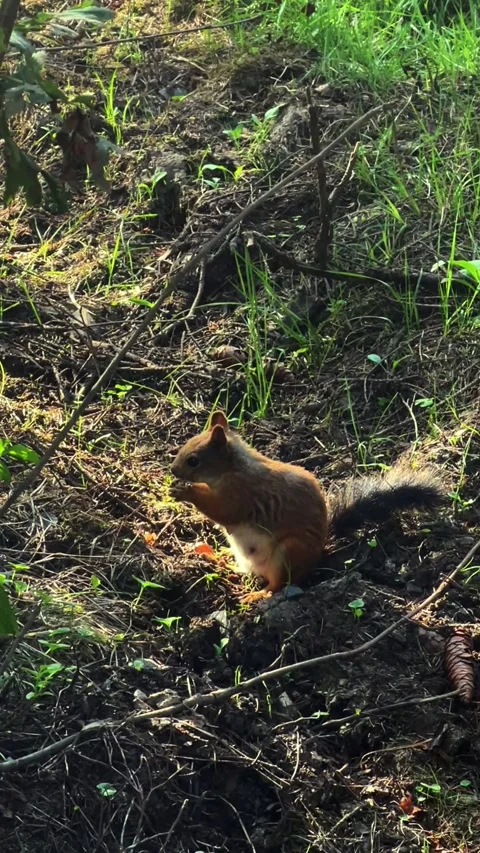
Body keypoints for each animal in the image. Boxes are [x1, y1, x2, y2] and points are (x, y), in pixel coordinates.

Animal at [170, 411, 443, 602]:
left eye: (193, 461)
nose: (172, 470)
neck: (232, 468)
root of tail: (317, 555)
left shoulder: (241, 492)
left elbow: (223, 510)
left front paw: (184, 490)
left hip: (288, 553)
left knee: (279, 584)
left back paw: (260, 594)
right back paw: (217, 558)